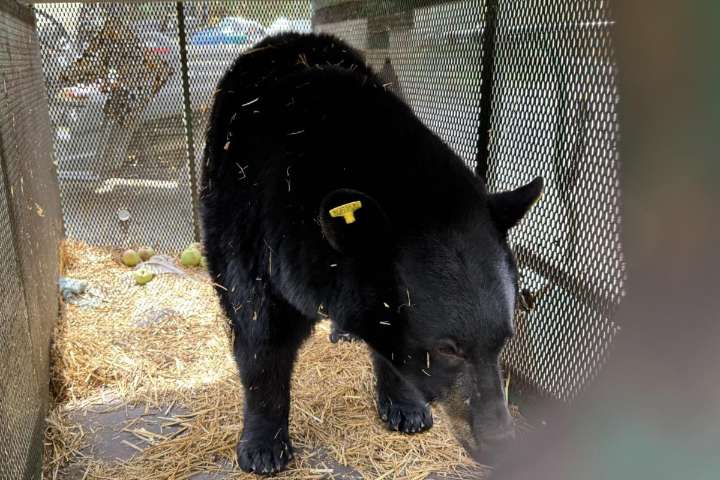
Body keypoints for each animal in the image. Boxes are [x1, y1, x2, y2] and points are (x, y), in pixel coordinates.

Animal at [200, 32, 543, 474]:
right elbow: (259, 332)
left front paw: (404, 406)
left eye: (505, 339)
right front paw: (263, 444)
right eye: (447, 348)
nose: (498, 441)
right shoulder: (249, 223)